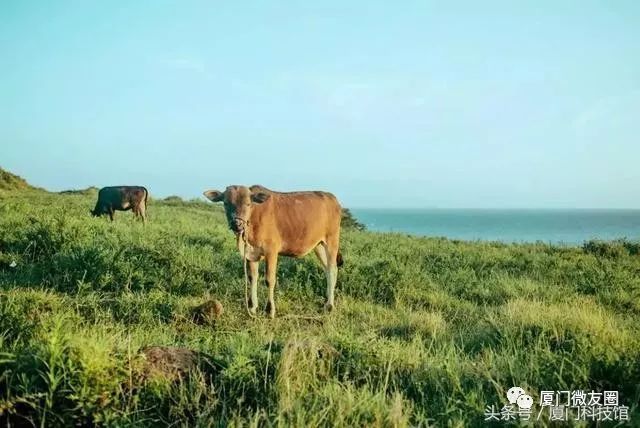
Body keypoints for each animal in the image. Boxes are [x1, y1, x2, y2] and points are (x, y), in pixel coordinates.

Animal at [205, 184, 344, 318]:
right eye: (226, 203)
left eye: (248, 204)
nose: (237, 224)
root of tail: (332, 198)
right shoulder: (251, 253)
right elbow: (252, 278)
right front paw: (252, 307)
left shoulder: (271, 251)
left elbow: (269, 280)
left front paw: (269, 310)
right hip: (318, 245)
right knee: (328, 269)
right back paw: (327, 300)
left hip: (331, 241)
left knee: (332, 269)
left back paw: (330, 306)